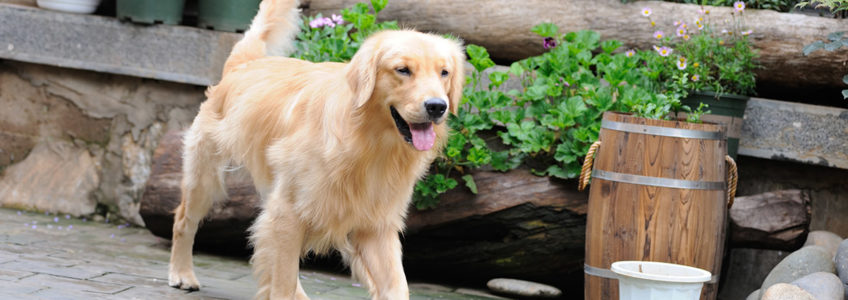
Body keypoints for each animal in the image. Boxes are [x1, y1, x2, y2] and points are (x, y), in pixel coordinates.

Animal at [166, 0, 468, 298]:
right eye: (402, 70)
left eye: (444, 73)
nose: (437, 106)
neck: (369, 143)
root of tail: (244, 63)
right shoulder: (289, 212)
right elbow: (283, 282)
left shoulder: (376, 225)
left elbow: (396, 286)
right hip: (206, 177)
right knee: (183, 221)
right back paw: (182, 274)